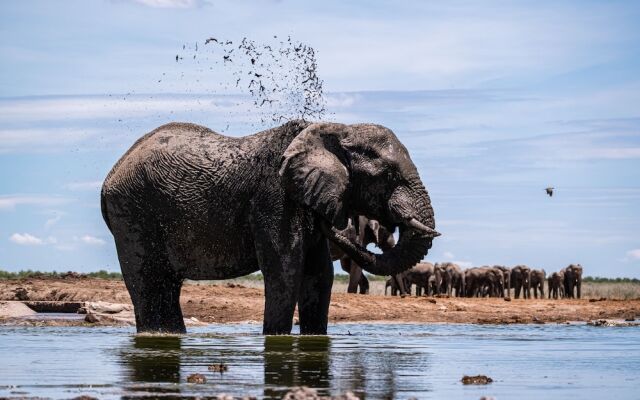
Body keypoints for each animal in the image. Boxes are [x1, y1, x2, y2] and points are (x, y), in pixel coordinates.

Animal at [101, 121, 440, 334]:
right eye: (388, 175)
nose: (338, 225)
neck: (334, 131)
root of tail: (113, 171)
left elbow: (319, 276)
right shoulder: (275, 199)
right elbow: (285, 271)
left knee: (167, 285)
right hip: (132, 212)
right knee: (148, 282)